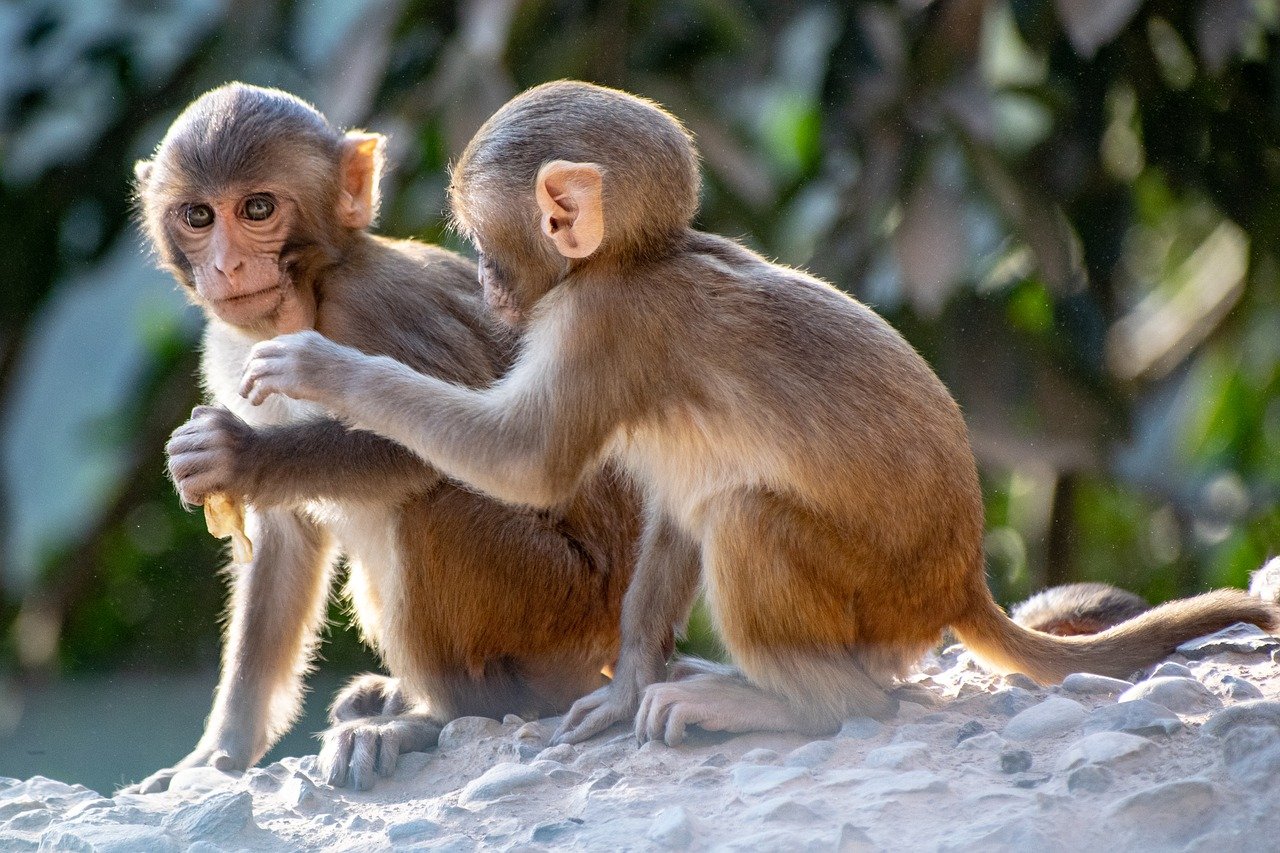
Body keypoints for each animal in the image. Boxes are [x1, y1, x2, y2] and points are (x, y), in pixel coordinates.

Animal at [124, 83, 640, 788]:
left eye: (257, 208)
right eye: (198, 216)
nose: (227, 265)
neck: (308, 296)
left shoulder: (377, 306)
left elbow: (496, 451)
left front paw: (239, 455)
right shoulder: (228, 352)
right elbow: (283, 541)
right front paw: (218, 753)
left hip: (558, 607)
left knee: (435, 506)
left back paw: (432, 716)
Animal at [235, 81, 1274, 742]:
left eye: (487, 243)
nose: (489, 283)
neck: (634, 257)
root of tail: (959, 583)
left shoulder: (599, 325)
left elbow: (525, 461)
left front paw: (325, 370)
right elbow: (666, 509)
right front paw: (627, 685)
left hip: (874, 603)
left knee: (748, 519)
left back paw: (800, 705)